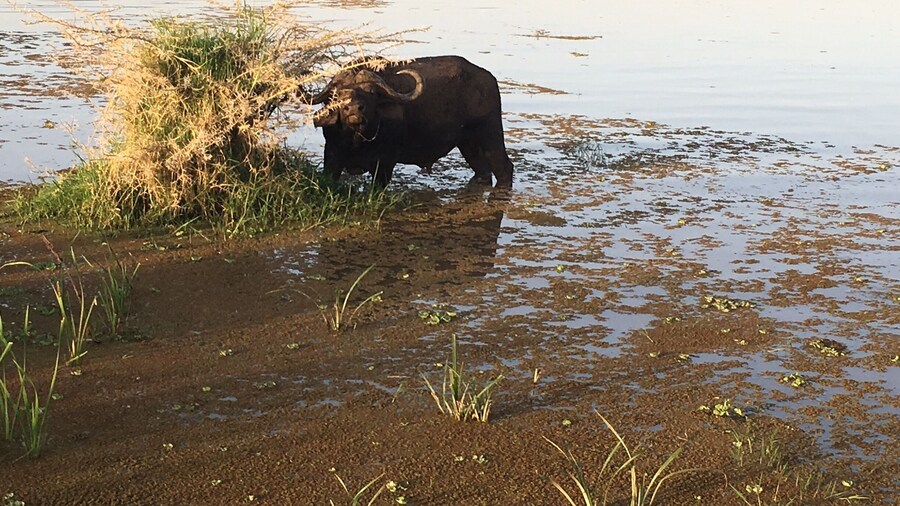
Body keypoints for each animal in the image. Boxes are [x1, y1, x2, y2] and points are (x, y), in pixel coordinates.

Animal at [310, 55, 514, 187]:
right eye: (336, 94)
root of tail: (488, 78)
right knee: (483, 172)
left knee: (504, 168)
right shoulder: (332, 156)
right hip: (467, 143)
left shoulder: (385, 163)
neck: (358, 140)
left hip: (490, 133)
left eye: (371, 92)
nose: (353, 109)